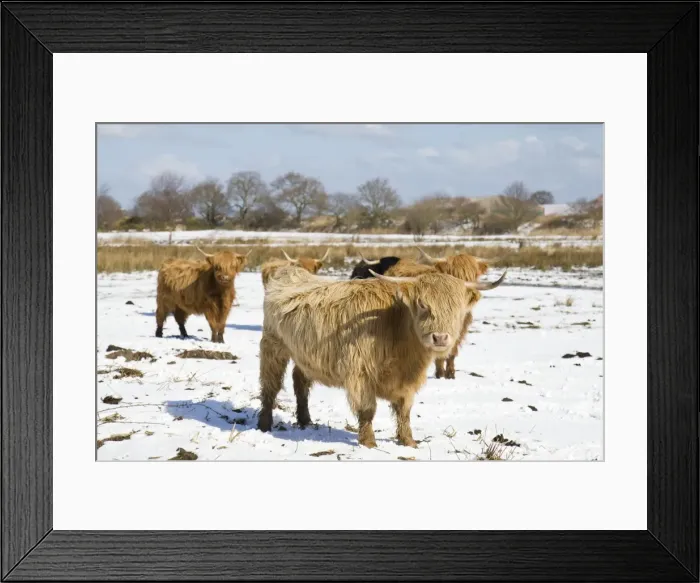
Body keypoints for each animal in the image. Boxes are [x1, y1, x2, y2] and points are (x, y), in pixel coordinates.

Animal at [257, 264, 506, 448]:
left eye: (457, 309)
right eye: (422, 304)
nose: (440, 337)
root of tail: (290, 271)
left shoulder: (406, 381)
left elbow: (404, 411)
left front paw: (408, 441)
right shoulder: (360, 372)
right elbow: (368, 410)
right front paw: (369, 443)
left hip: (303, 354)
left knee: (300, 382)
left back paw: (305, 420)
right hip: (273, 346)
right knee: (270, 386)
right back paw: (264, 424)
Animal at [385, 246, 493, 380]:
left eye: (474, 274)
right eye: (452, 273)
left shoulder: (458, 331)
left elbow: (452, 352)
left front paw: (451, 374)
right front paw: (440, 373)